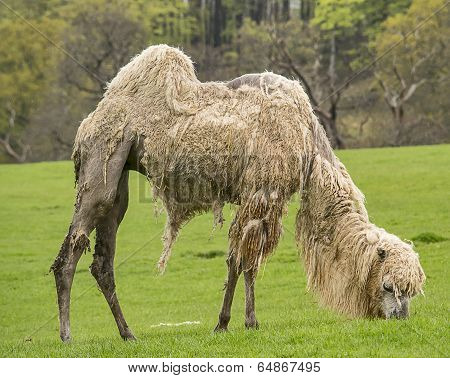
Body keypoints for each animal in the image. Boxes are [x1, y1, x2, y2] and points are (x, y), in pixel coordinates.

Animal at [51, 45, 424, 342]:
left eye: (414, 290)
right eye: (389, 285)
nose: (400, 317)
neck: (308, 145)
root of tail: (88, 122)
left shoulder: (260, 199)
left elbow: (249, 260)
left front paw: (248, 322)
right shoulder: (261, 193)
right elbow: (239, 260)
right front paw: (226, 323)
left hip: (119, 180)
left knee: (102, 260)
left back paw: (127, 333)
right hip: (101, 161)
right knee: (71, 252)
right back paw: (67, 336)